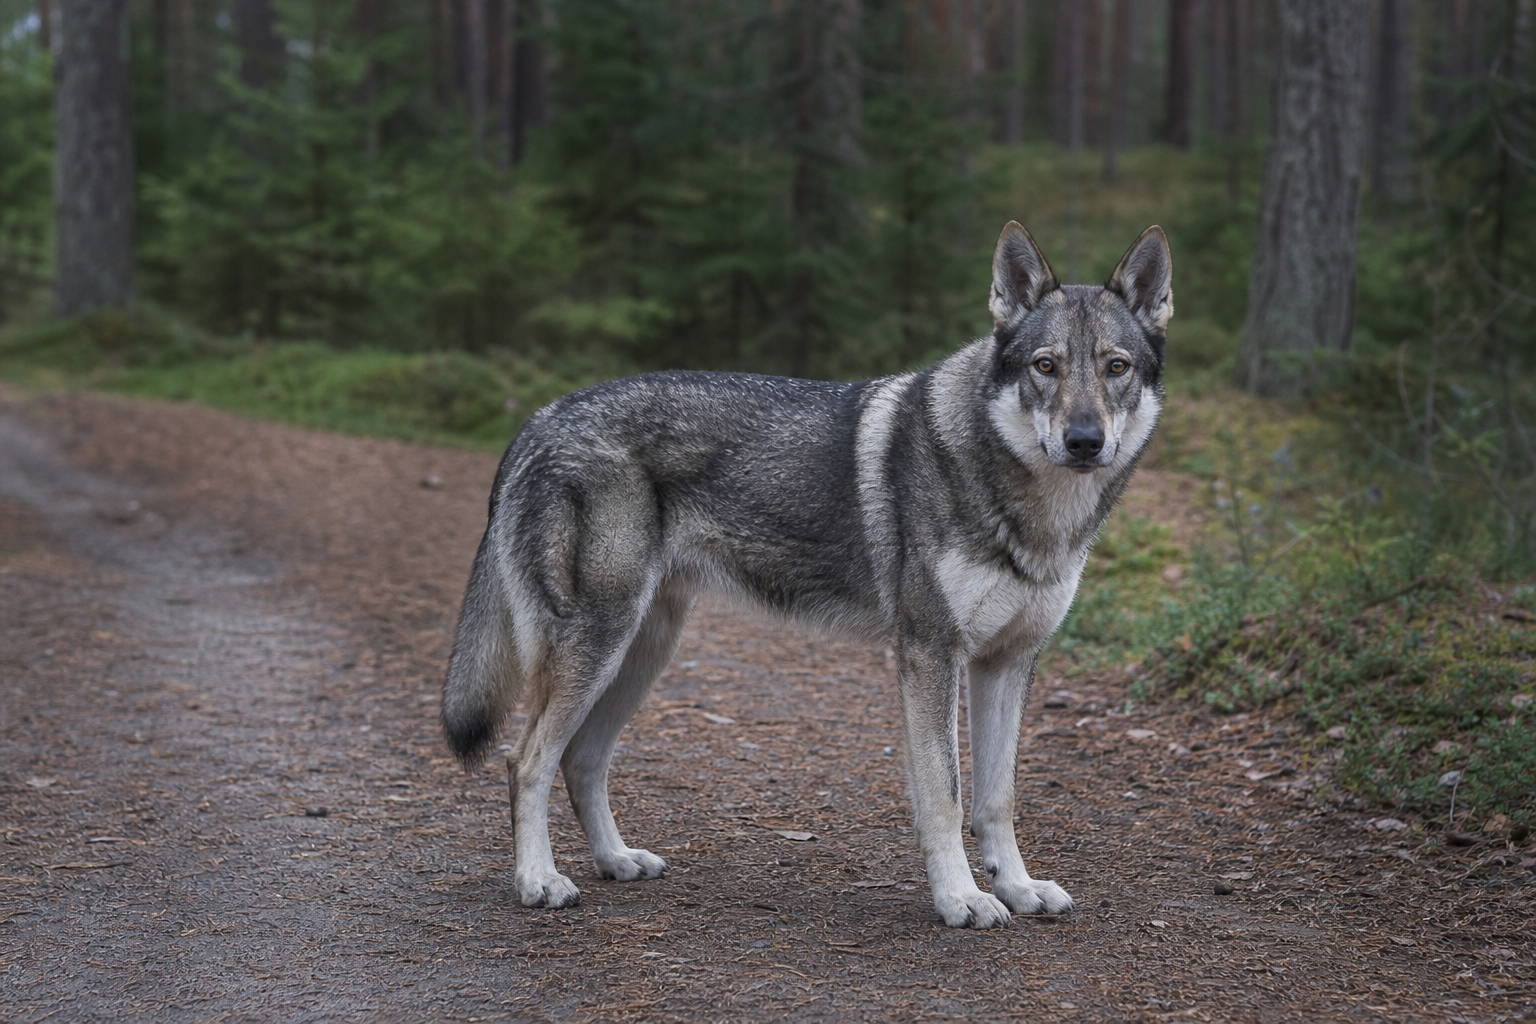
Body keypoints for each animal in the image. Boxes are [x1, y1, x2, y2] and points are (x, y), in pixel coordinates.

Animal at [442, 222, 1172, 928]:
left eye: (1115, 367)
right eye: (1046, 366)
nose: (1085, 441)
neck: (1030, 507)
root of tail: (539, 418)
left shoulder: (1009, 662)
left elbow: (998, 799)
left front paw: (1017, 889)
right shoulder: (929, 655)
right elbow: (944, 794)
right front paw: (960, 899)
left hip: (641, 653)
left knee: (582, 758)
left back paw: (616, 860)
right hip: (599, 647)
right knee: (527, 759)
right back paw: (538, 881)